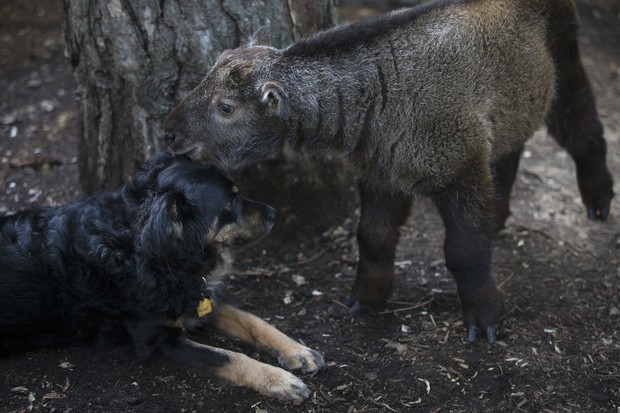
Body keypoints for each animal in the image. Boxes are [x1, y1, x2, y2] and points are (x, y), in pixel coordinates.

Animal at [0, 151, 326, 402]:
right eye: (231, 202)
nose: (274, 213)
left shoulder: (199, 298)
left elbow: (255, 321)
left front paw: (298, 351)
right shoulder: (155, 339)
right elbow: (228, 356)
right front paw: (279, 380)